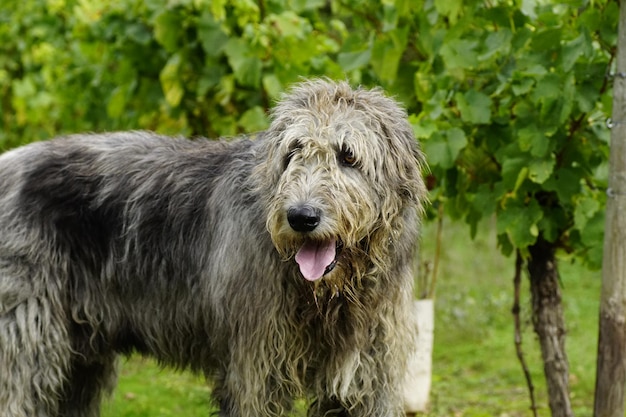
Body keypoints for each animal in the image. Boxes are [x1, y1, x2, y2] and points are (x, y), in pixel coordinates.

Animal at [0, 79, 426, 416]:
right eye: (292, 153)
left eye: (347, 155)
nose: (301, 217)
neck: (327, 296)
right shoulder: (254, 372)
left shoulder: (366, 377)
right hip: (26, 341)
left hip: (79, 361)